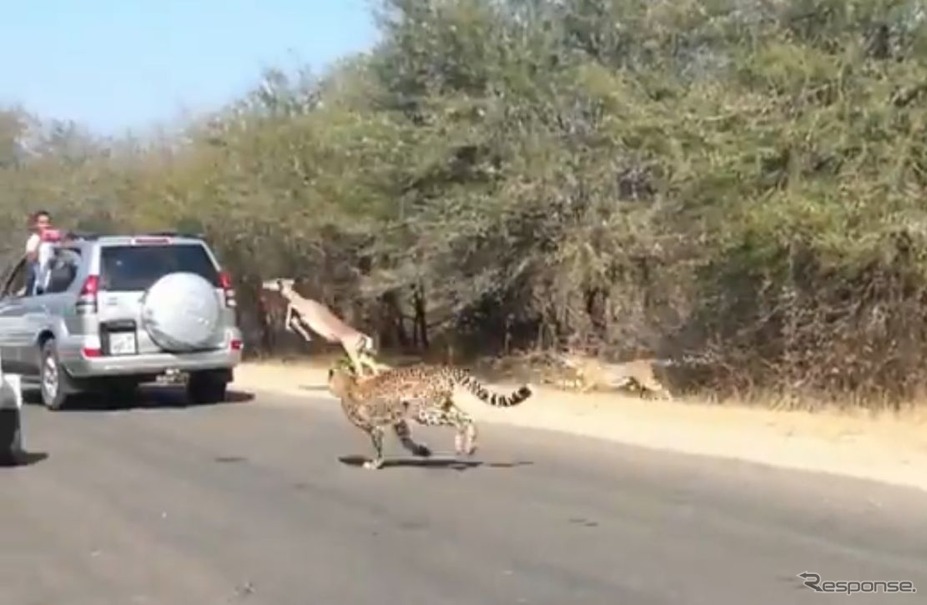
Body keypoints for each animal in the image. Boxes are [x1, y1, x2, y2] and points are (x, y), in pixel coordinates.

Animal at [328, 360, 532, 470]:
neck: (348, 383)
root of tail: (442, 368)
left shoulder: (375, 428)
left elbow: (379, 447)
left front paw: (375, 464)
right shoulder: (399, 419)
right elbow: (406, 440)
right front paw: (422, 451)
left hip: (423, 411)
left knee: (459, 421)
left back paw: (460, 446)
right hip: (442, 404)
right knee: (467, 417)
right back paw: (470, 446)